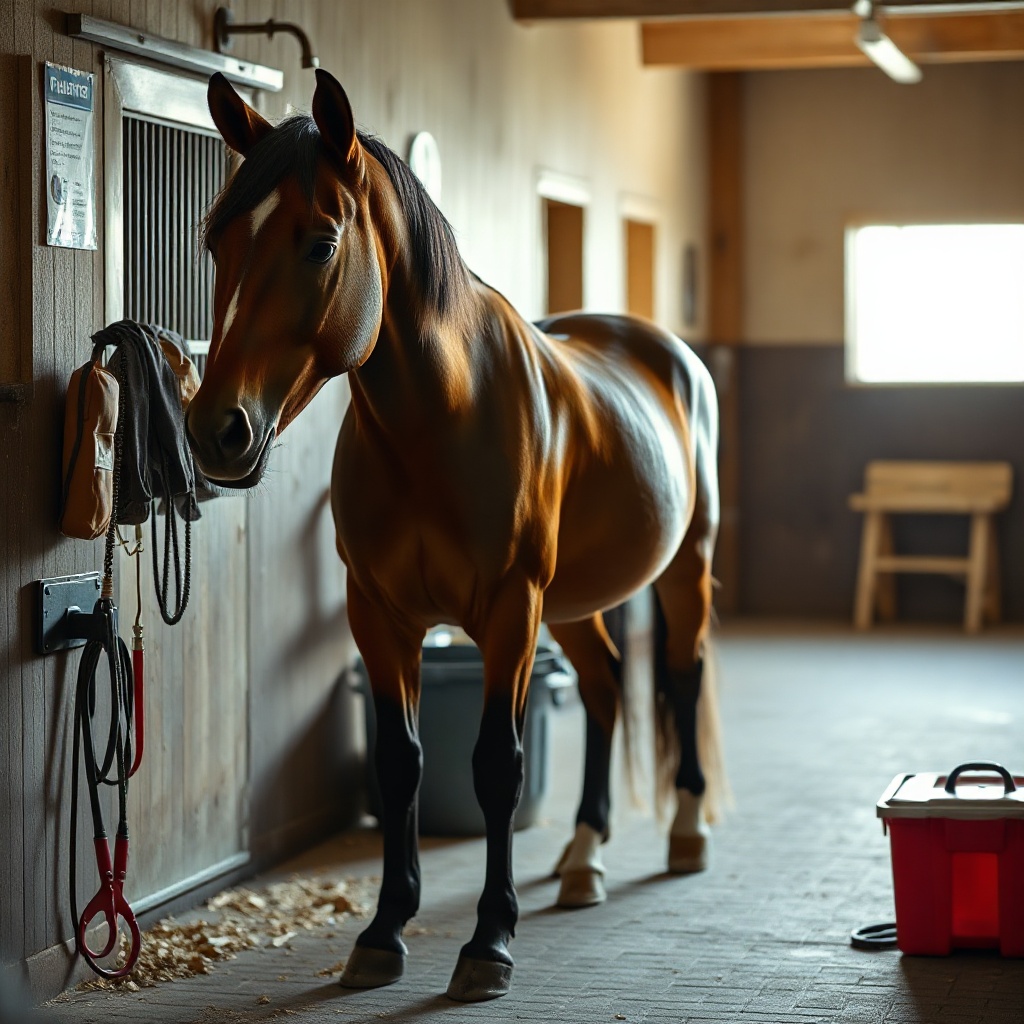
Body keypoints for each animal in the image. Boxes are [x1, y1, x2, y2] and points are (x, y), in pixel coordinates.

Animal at [186, 69, 723, 1003]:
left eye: (320, 244)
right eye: (219, 239)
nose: (218, 430)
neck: (441, 421)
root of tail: (668, 351)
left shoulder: (509, 613)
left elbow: (496, 766)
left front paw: (489, 943)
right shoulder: (380, 617)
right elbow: (401, 762)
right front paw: (383, 931)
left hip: (678, 572)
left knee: (681, 678)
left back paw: (685, 832)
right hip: (573, 605)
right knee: (606, 689)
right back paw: (583, 858)